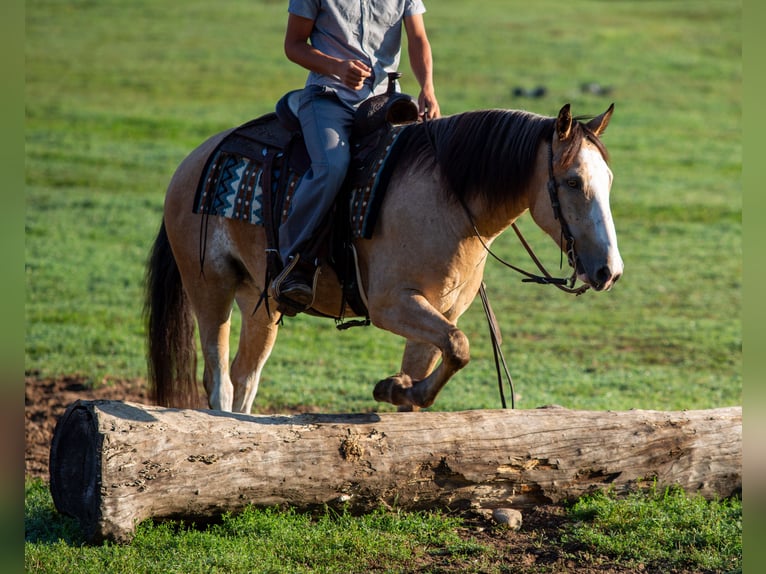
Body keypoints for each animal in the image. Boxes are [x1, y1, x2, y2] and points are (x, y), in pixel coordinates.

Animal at [145, 103, 623, 413]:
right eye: (573, 181)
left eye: (609, 180)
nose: (610, 271)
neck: (448, 202)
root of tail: (195, 160)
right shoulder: (391, 305)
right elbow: (460, 344)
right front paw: (393, 388)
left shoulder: (438, 312)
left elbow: (445, 356)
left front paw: (399, 390)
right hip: (210, 287)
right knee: (219, 380)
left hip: (260, 302)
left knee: (246, 378)